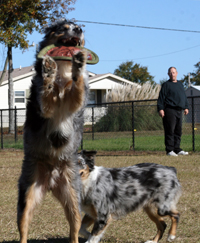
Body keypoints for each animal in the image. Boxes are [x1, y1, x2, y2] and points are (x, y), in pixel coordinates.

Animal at [16, 19, 88, 243]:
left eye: (79, 27)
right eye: (63, 28)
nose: (79, 29)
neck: (62, 74)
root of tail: (51, 178)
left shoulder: (74, 102)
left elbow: (77, 85)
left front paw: (79, 65)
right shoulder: (45, 107)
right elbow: (46, 90)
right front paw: (48, 70)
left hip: (73, 198)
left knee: (74, 229)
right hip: (27, 196)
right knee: (24, 227)